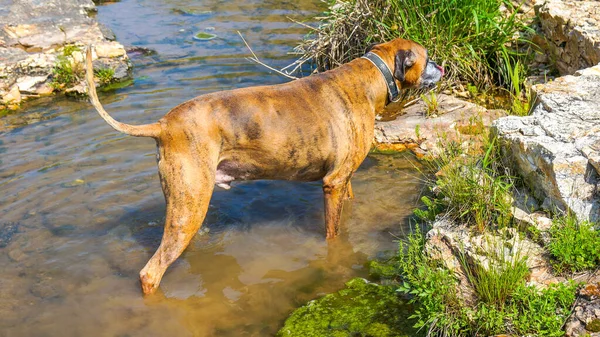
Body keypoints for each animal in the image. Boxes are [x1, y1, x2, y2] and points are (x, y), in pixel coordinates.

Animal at [86, 37, 446, 294]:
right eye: (428, 57)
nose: (442, 69)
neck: (371, 76)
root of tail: (163, 125)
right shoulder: (332, 184)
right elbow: (333, 234)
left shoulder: (344, 181)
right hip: (189, 206)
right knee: (150, 273)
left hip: (185, 209)